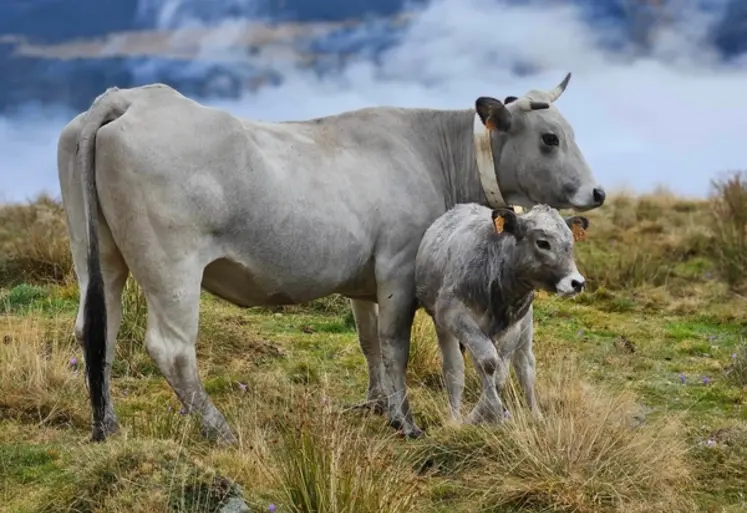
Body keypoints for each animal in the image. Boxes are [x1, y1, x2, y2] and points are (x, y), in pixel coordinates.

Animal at [414, 203, 589, 424]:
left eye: (571, 243)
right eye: (543, 243)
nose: (577, 283)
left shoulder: (513, 326)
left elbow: (499, 374)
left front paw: (492, 413)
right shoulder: (453, 315)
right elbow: (487, 363)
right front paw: (478, 417)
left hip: (525, 329)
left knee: (525, 366)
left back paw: (536, 416)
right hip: (448, 326)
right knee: (455, 367)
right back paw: (454, 418)